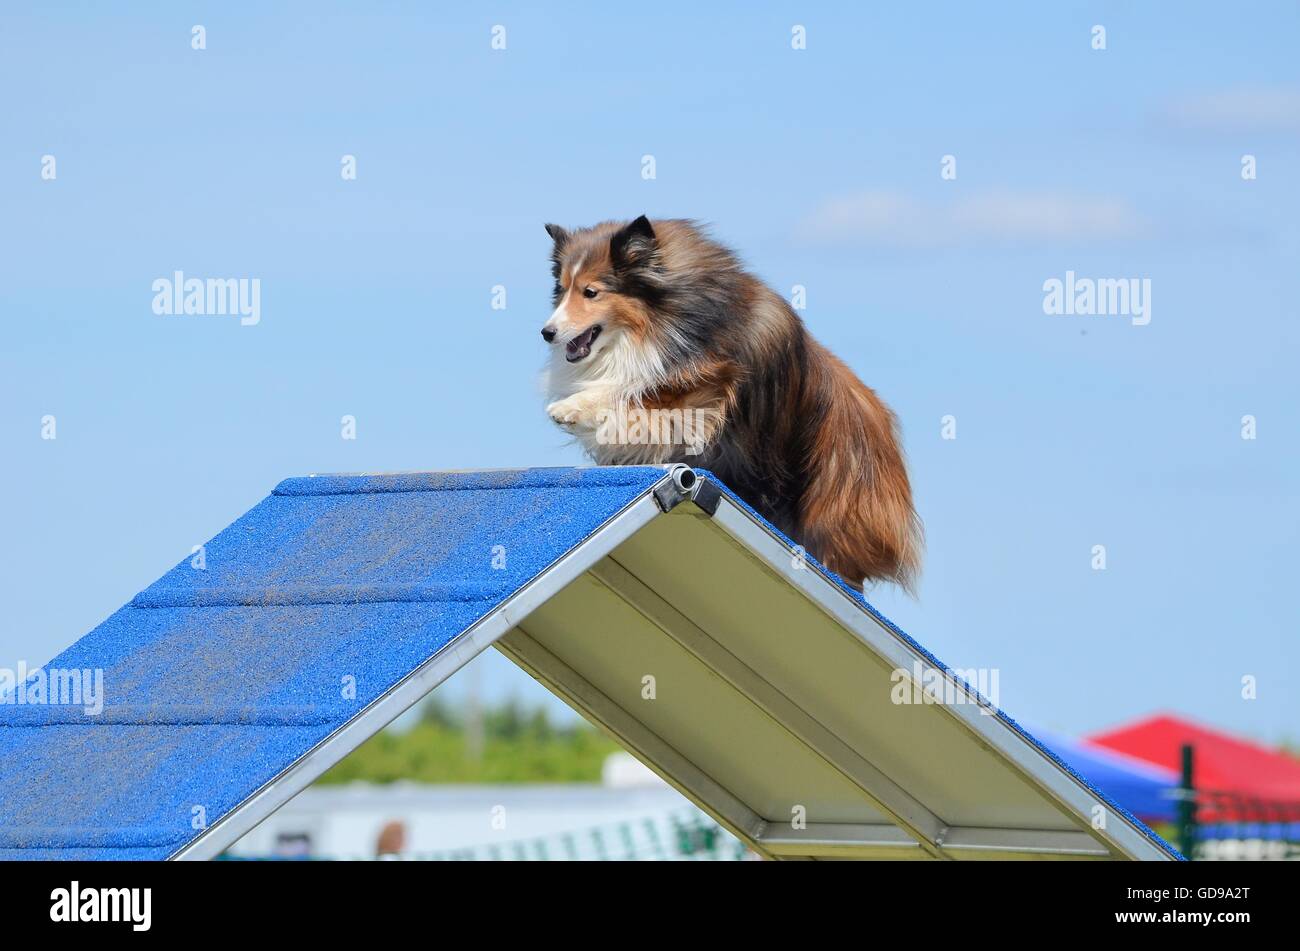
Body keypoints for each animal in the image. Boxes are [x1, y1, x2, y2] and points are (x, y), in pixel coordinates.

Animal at [538, 215, 925, 589]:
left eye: (591, 292)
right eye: (563, 289)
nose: (547, 333)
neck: (665, 317)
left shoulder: (706, 383)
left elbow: (635, 392)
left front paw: (570, 407)